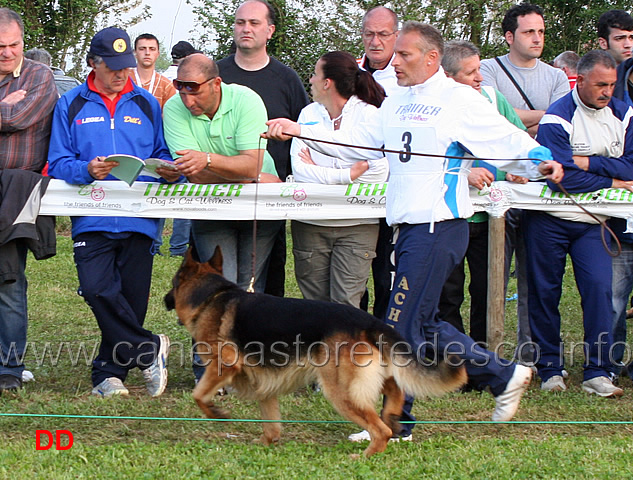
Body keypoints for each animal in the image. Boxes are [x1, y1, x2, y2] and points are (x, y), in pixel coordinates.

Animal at [165, 248, 466, 458]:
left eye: (173, 283)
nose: (166, 299)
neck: (211, 297)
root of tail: (369, 321)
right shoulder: (265, 386)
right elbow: (271, 422)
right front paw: (265, 443)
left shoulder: (223, 366)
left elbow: (198, 395)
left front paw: (216, 413)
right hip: (372, 376)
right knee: (396, 391)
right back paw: (392, 414)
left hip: (341, 391)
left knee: (381, 431)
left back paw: (365, 456)